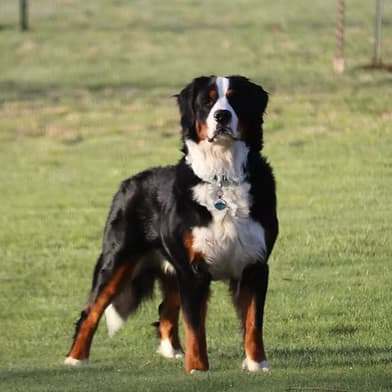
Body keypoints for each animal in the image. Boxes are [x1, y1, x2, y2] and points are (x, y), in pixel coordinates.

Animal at [64, 75, 278, 372]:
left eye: (235, 99)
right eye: (207, 101)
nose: (222, 116)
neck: (223, 179)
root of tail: (130, 181)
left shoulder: (254, 264)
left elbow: (252, 323)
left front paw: (258, 365)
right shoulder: (193, 270)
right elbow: (195, 327)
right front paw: (198, 368)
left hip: (172, 270)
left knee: (165, 310)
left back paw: (172, 351)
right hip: (117, 261)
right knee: (91, 312)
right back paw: (75, 358)